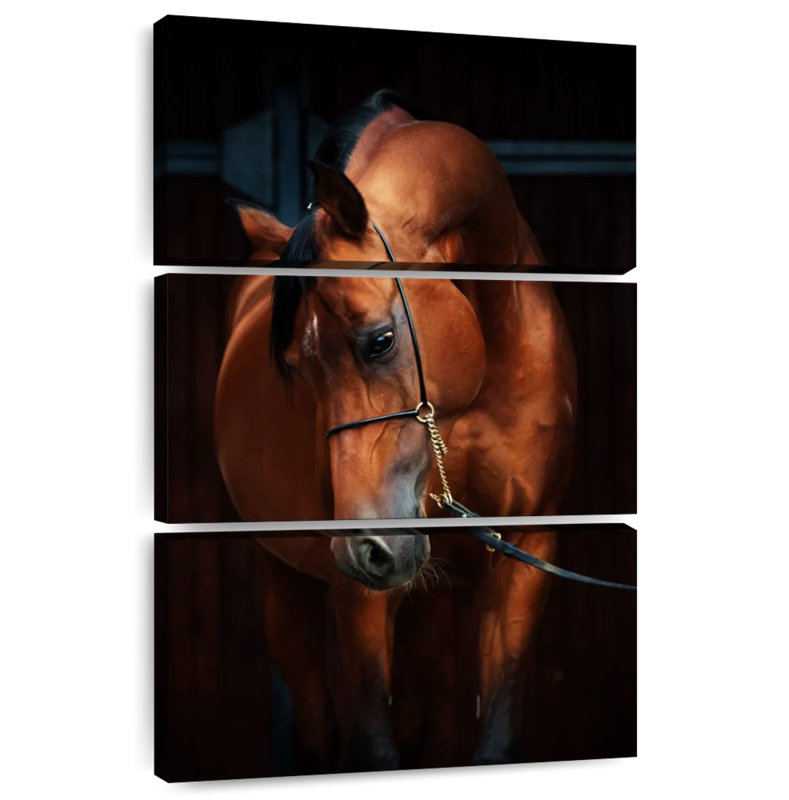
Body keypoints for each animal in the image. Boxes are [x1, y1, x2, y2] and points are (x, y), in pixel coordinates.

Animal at [214, 275, 576, 770]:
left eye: (381, 340)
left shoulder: (525, 555)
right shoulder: (357, 589)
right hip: (287, 584)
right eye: (295, 367)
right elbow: (372, 745)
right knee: (316, 726)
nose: (367, 550)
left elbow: (496, 740)